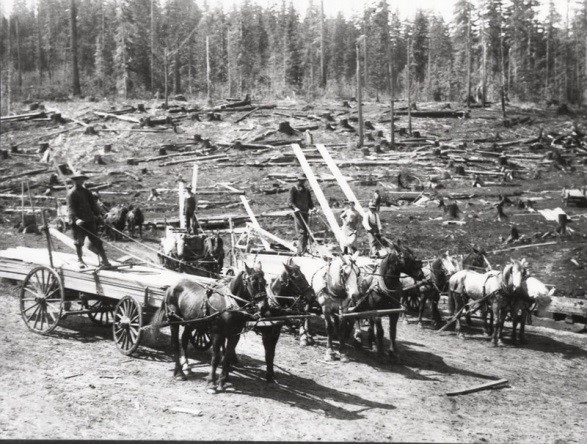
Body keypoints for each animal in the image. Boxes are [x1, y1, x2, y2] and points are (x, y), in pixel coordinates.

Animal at [153, 262, 270, 394]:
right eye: (253, 282)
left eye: (265, 282)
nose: (264, 307)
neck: (229, 303)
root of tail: (171, 287)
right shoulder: (217, 333)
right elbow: (216, 357)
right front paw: (211, 383)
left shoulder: (234, 335)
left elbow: (227, 357)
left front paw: (222, 382)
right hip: (174, 321)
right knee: (175, 344)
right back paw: (180, 373)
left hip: (191, 322)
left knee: (184, 340)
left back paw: (185, 367)